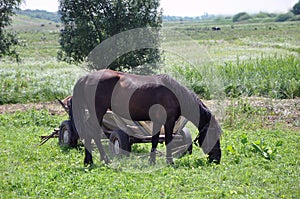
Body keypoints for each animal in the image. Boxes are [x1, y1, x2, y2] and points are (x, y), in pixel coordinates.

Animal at [71, 69, 221, 166]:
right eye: (214, 134)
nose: (217, 159)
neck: (174, 94)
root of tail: (86, 78)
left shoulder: (157, 121)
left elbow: (154, 140)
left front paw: (152, 161)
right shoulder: (169, 121)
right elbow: (168, 140)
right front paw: (170, 161)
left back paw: (90, 161)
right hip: (98, 111)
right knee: (93, 133)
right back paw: (103, 160)